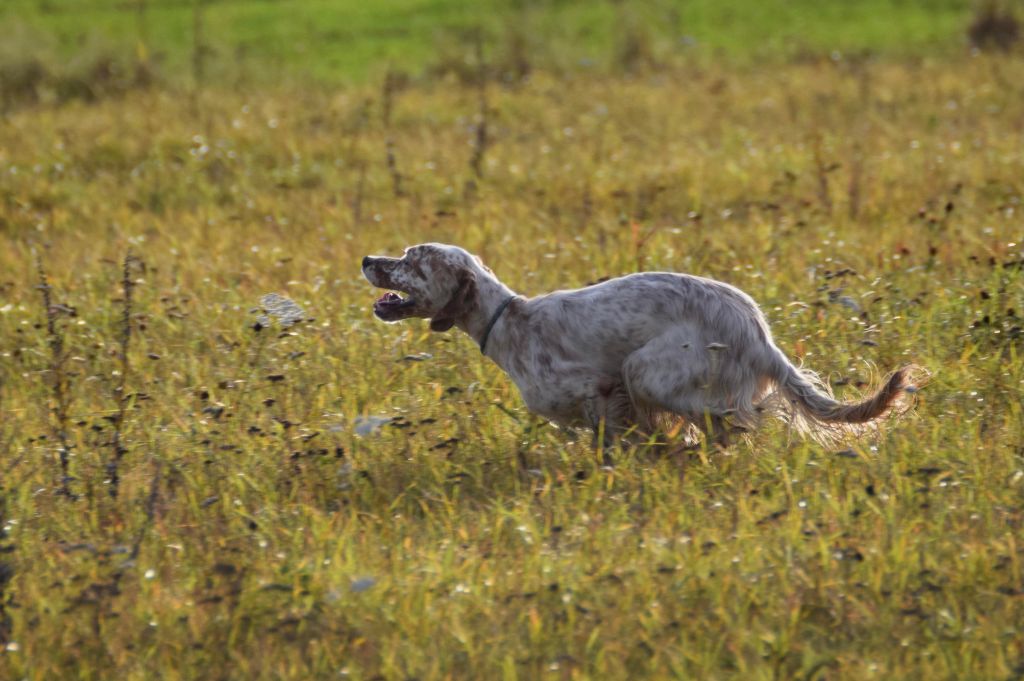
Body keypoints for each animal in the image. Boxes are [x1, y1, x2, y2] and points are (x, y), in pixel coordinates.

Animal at [362, 241, 921, 444]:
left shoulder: (602, 390)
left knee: (739, 425)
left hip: (648, 370)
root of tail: (759, 335)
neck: (509, 322)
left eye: (412, 259)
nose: (367, 260)